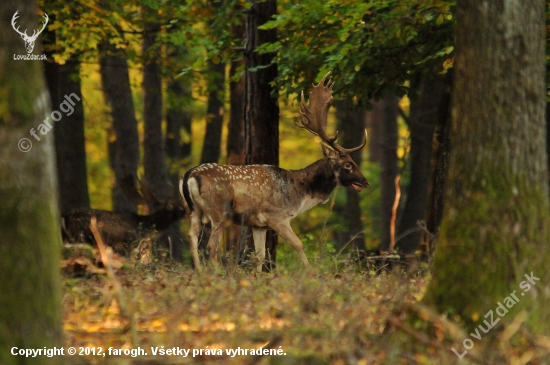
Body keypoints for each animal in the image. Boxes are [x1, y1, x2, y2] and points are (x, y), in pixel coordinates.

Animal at [181, 71, 370, 270]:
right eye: (348, 164)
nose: (365, 182)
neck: (299, 194)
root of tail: (189, 176)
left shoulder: (258, 225)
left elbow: (260, 255)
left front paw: (257, 275)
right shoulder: (278, 217)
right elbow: (298, 244)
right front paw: (311, 273)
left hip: (193, 210)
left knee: (192, 237)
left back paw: (200, 271)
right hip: (219, 210)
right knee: (211, 245)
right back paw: (215, 272)